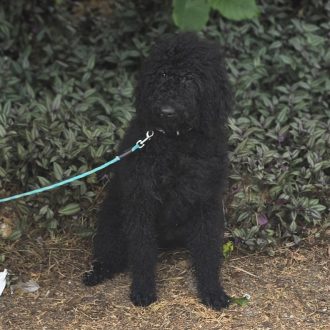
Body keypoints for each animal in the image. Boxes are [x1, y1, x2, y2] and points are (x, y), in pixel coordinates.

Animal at [82, 31, 232, 310]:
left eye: (189, 78)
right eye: (161, 74)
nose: (166, 111)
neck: (175, 141)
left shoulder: (206, 202)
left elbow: (207, 251)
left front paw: (212, 290)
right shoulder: (141, 200)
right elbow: (141, 251)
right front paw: (143, 289)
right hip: (113, 219)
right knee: (111, 253)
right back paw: (98, 271)